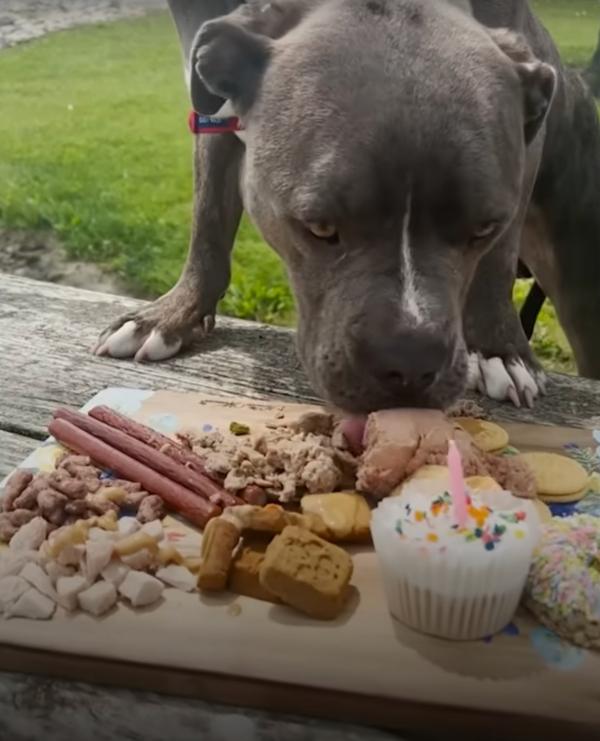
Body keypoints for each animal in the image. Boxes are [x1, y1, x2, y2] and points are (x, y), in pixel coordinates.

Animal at [92, 0, 600, 416]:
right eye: (318, 226)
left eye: (483, 228)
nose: (409, 364)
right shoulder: (215, 115)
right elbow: (208, 223)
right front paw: (170, 315)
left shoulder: (524, 152)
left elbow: (497, 260)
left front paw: (500, 349)